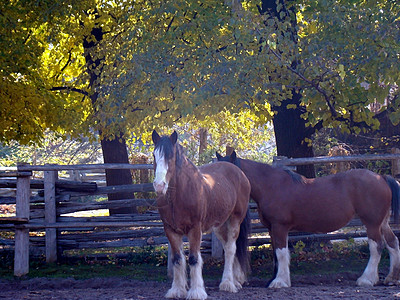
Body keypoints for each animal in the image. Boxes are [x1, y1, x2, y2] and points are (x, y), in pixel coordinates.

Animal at [152, 131, 250, 300]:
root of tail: (239, 173)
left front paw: (196, 291)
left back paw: (227, 283)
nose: (159, 186)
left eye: (171, 156)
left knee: (231, 249)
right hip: (220, 225)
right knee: (229, 247)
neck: (179, 196)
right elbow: (177, 259)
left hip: (235, 220)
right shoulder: (170, 230)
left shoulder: (195, 229)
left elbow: (194, 258)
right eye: (154, 155)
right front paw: (177, 290)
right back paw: (235, 281)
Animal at [217, 151, 400, 290]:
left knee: (376, 246)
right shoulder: (271, 228)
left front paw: (279, 281)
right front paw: (276, 279)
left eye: (229, 172)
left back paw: (366, 279)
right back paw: (391, 278)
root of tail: (381, 177)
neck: (271, 185)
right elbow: (277, 253)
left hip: (372, 223)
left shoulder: (280, 226)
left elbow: (281, 253)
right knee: (392, 242)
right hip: (382, 223)